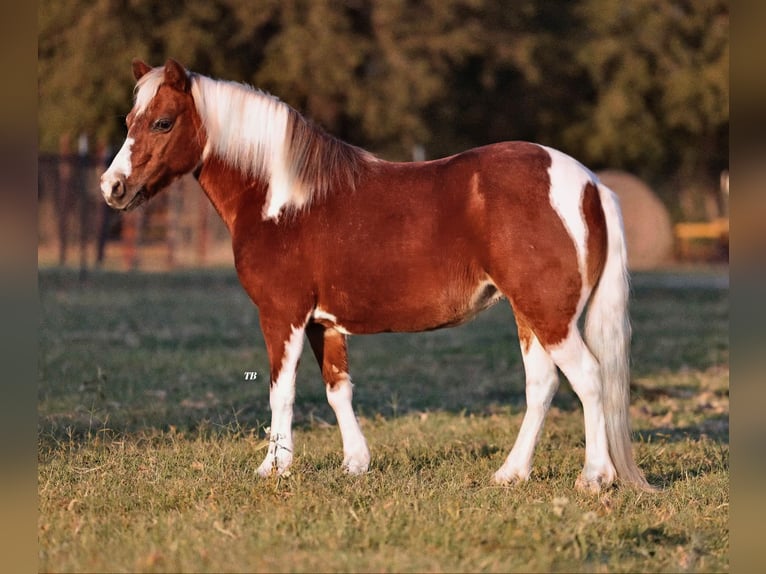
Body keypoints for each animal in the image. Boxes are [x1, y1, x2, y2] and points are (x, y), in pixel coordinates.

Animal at [100, 58, 656, 496]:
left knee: (588, 377)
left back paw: (595, 476)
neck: (282, 198)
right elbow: (337, 389)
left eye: (163, 122)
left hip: (549, 314)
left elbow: (282, 390)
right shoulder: (323, 322)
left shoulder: (283, 315)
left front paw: (274, 468)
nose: (112, 187)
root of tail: (590, 183)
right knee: (542, 385)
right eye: (130, 120)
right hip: (530, 312)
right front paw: (355, 464)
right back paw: (510, 474)